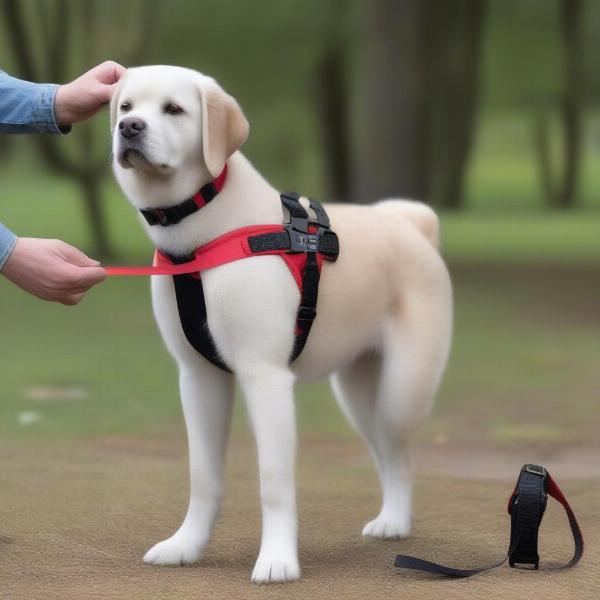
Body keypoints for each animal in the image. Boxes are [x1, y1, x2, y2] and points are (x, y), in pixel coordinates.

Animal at [110, 67, 452, 584]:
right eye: (126, 107)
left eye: (173, 109)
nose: (129, 129)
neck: (201, 236)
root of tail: (412, 225)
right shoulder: (198, 377)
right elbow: (202, 477)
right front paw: (185, 546)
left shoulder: (264, 376)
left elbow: (273, 481)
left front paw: (277, 560)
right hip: (358, 393)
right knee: (384, 453)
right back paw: (388, 519)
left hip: (402, 390)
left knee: (401, 455)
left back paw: (395, 522)